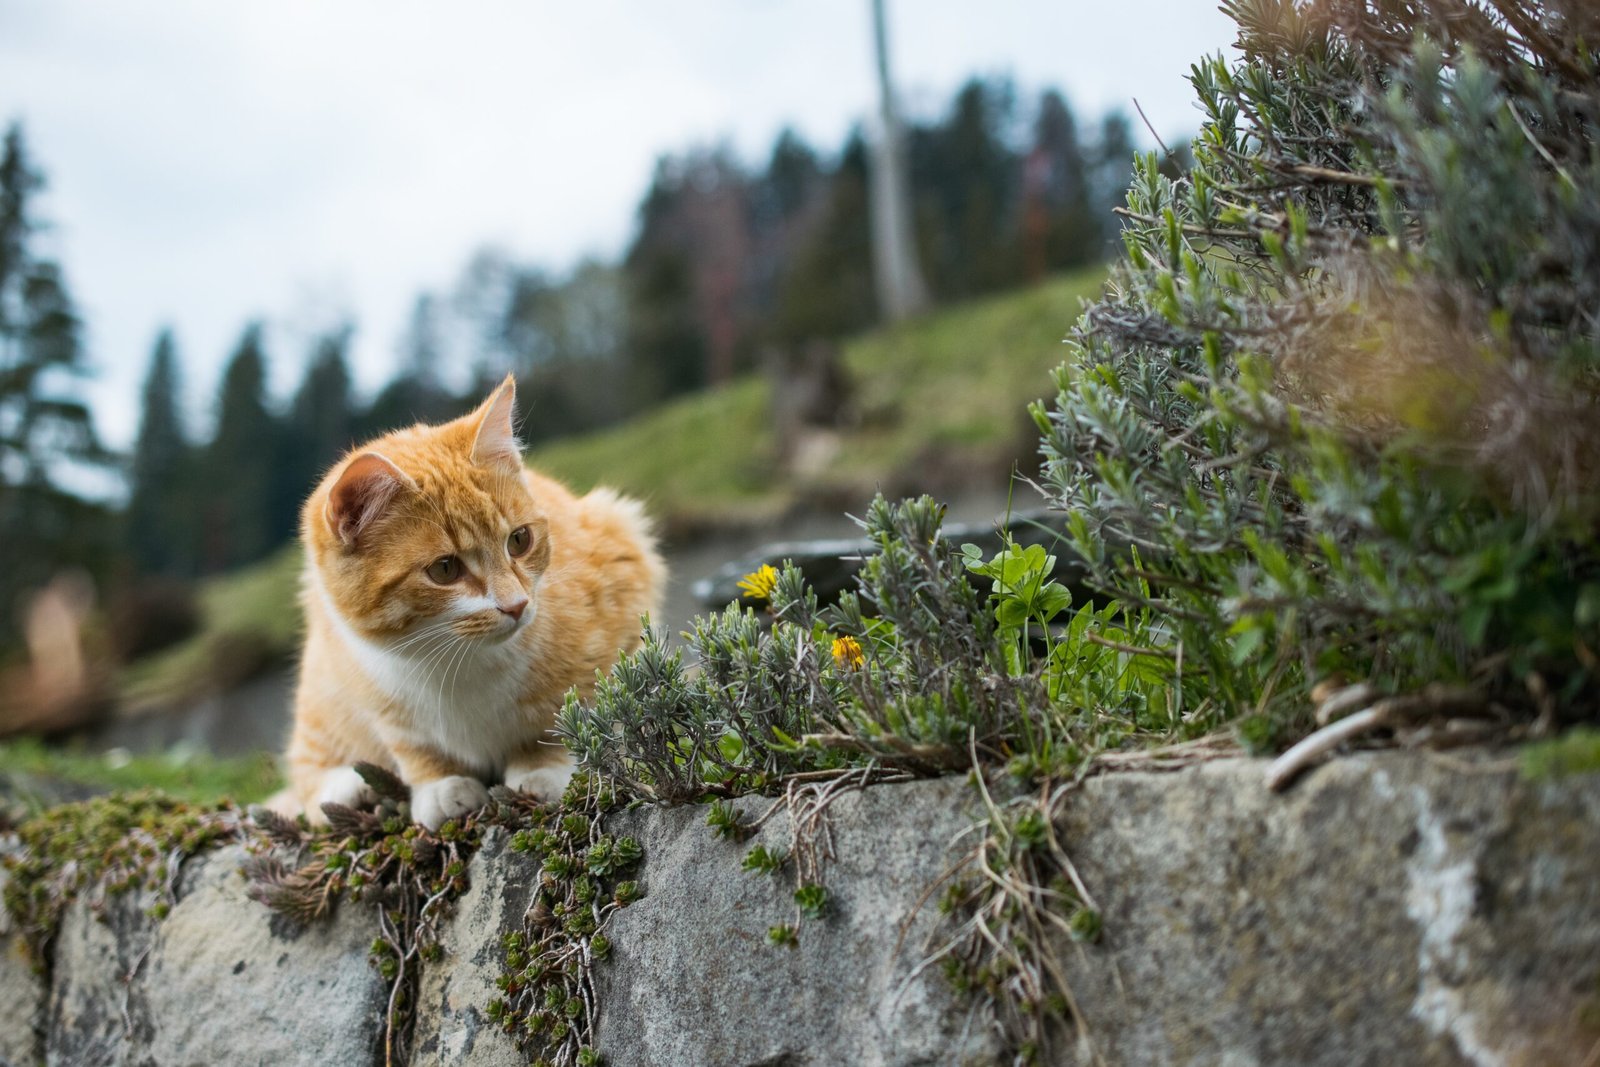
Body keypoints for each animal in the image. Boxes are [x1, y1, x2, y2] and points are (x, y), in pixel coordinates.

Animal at [281, 379, 662, 831]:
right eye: (445, 569)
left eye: (520, 540)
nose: (516, 606)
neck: (456, 658)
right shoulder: (375, 689)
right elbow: (413, 744)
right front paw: (440, 783)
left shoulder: (617, 590)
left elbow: (563, 711)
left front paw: (542, 768)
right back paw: (349, 787)